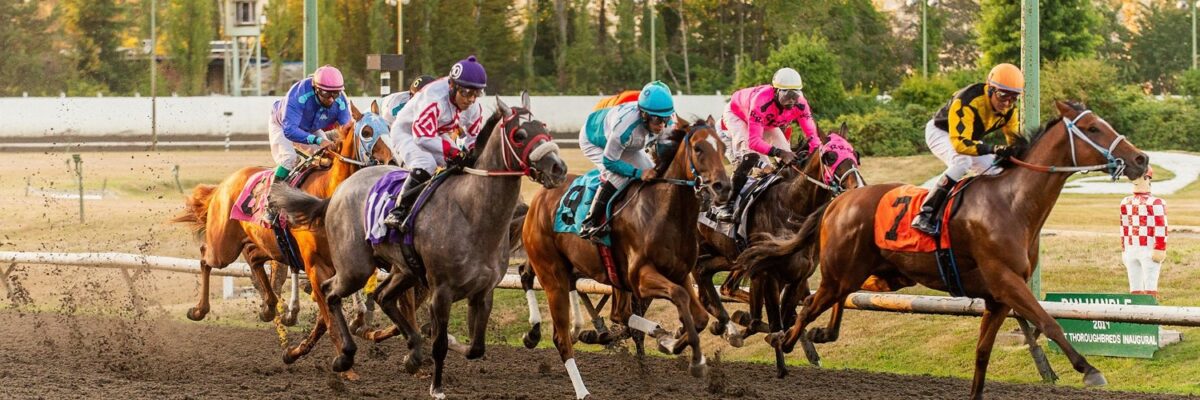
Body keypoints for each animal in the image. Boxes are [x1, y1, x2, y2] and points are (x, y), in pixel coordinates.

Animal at [271, 93, 566, 396]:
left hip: (404, 270)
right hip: (356, 268)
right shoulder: (441, 290)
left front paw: (433, 347)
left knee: (382, 296)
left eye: (543, 127)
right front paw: (436, 387)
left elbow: (475, 347)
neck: (473, 212)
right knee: (330, 291)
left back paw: (411, 352)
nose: (558, 168)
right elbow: (440, 344)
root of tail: (336, 194)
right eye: (519, 135)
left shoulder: (483, 291)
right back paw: (345, 355)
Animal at [523, 115, 729, 398]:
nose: (723, 187)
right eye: (698, 148)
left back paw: (652, 331)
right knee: (561, 336)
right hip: (552, 276)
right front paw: (695, 361)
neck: (665, 213)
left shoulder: (679, 274)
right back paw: (582, 390)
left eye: (723, 147)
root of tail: (540, 198)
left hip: (611, 276)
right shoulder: (641, 276)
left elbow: (699, 318)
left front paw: (671, 342)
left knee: (618, 314)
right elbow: (679, 296)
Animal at [734, 100, 1147, 396]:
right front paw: (1089, 369)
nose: (1140, 158)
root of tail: (839, 200)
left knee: (827, 298)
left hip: (882, 276)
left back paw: (814, 333)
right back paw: (777, 335)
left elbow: (982, 355)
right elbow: (1049, 321)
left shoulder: (997, 297)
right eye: (1093, 128)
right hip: (843, 271)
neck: (1012, 202)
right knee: (807, 304)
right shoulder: (1007, 281)